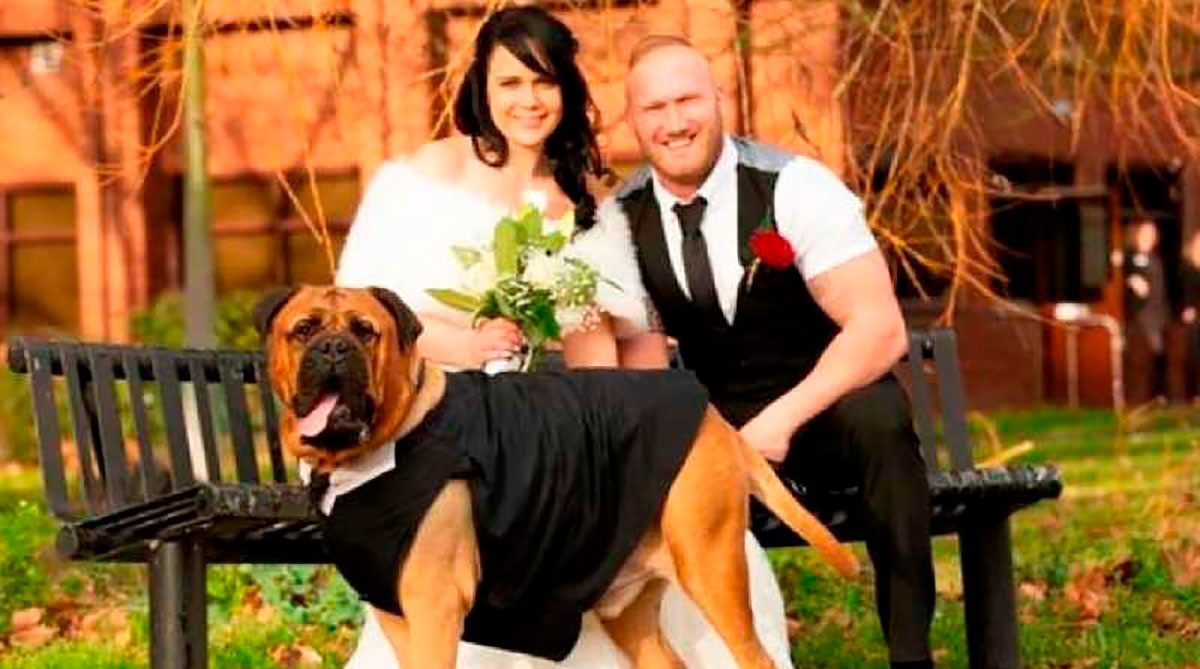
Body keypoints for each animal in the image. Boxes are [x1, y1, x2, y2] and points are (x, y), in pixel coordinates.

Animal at [258, 285, 859, 666]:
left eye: (366, 332)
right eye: (303, 330)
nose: (333, 349)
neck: (384, 448)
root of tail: (713, 417)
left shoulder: (434, 610)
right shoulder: (397, 616)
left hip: (711, 567)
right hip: (631, 605)